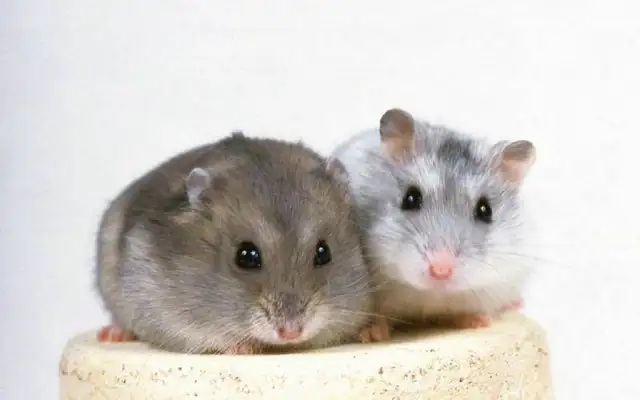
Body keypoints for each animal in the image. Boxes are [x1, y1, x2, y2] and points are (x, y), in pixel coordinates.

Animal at [331, 108, 537, 341]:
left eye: (485, 210)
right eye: (410, 198)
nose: (440, 270)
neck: (429, 294)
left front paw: (479, 322)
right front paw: (372, 334)